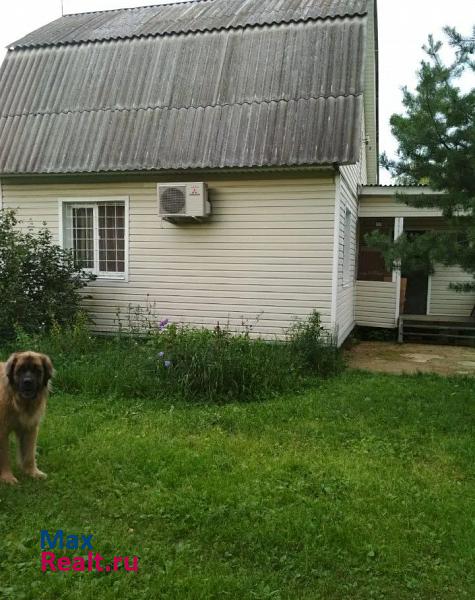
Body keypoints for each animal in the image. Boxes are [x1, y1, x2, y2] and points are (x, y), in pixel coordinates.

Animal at [0, 352, 53, 482]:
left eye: (37, 370)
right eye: (20, 370)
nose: (27, 381)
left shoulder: (30, 427)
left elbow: (29, 452)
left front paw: (32, 472)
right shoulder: (2, 430)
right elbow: (4, 455)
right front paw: (7, 477)